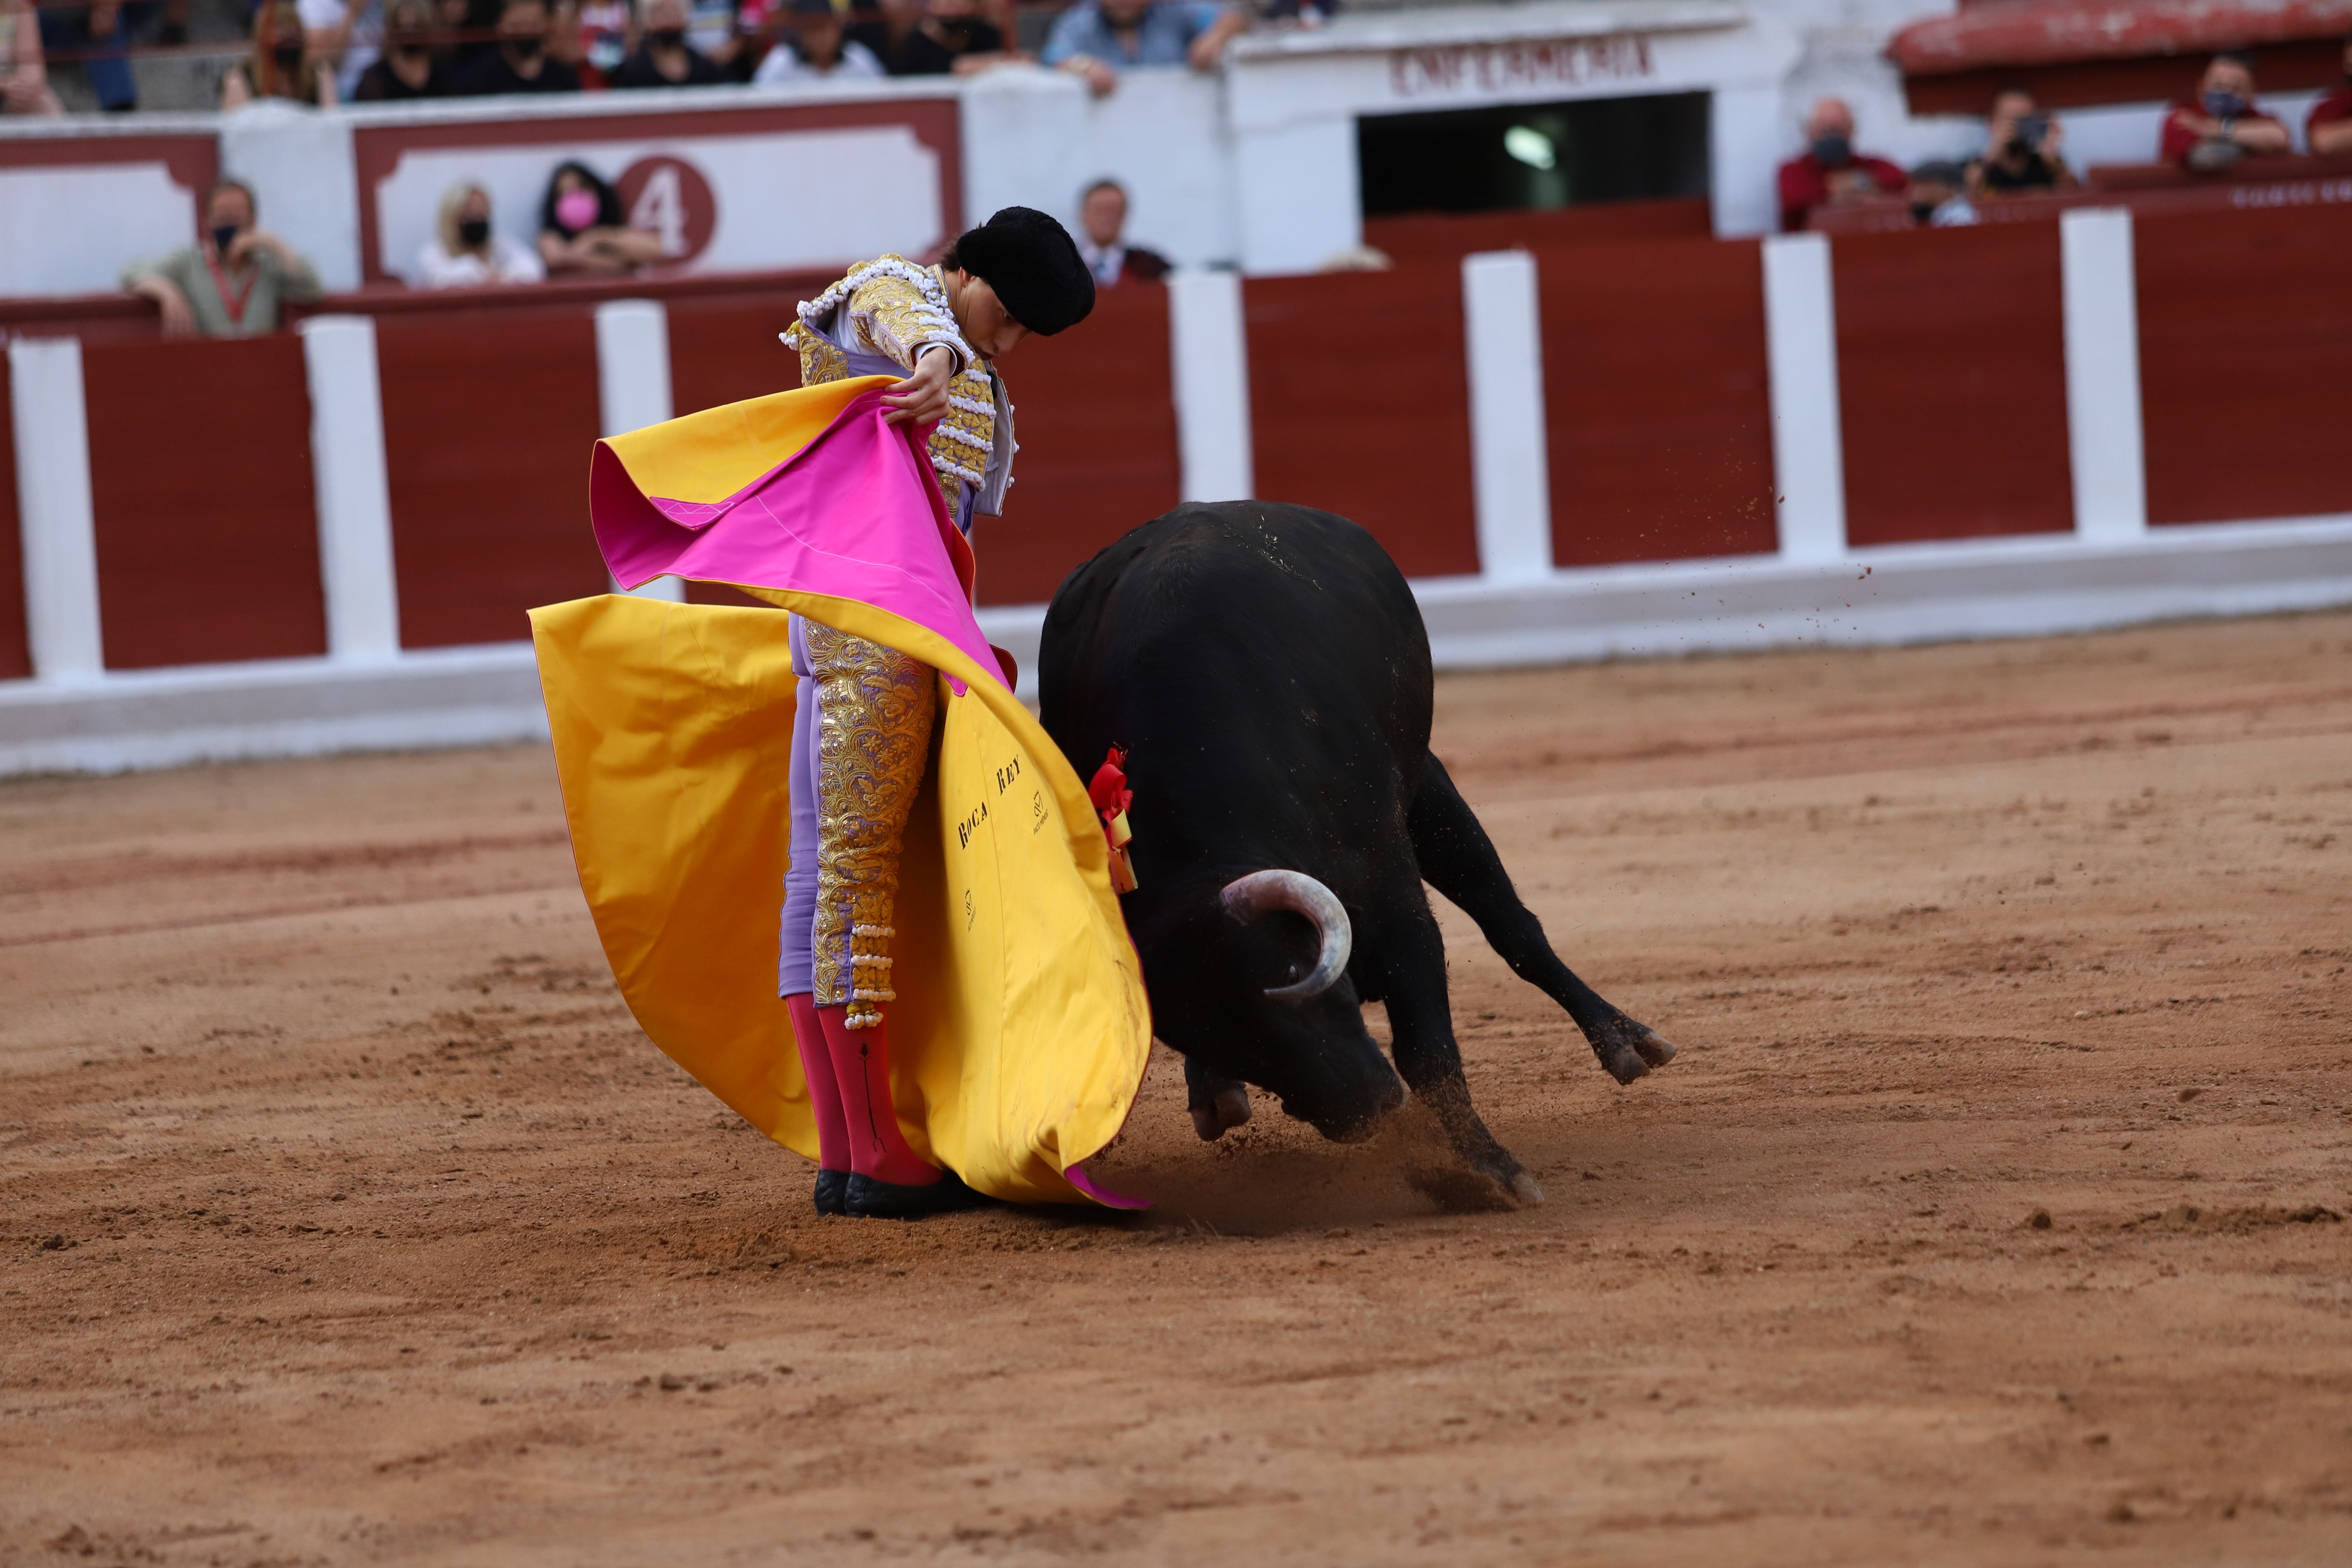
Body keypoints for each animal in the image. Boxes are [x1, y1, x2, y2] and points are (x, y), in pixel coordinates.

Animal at [1044, 496, 1674, 1213]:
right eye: (1205, 1034)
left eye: (1295, 975)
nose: (1366, 1107)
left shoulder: (1399, 909)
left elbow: (1430, 1050)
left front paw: (1487, 1169)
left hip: (1427, 784)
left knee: (1512, 924)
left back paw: (1625, 1041)